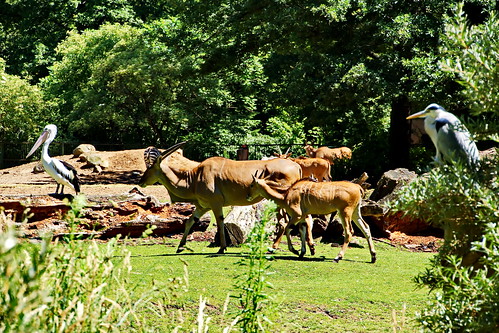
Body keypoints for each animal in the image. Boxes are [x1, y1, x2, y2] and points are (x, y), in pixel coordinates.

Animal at [139, 141, 300, 253]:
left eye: (150, 167)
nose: (141, 181)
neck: (194, 178)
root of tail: (296, 166)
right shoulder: (203, 206)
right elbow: (190, 221)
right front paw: (180, 246)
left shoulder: (215, 204)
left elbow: (219, 222)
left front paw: (222, 248)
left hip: (279, 201)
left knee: (284, 222)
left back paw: (274, 247)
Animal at [248, 176, 376, 262]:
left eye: (252, 185)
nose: (247, 196)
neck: (285, 196)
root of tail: (358, 187)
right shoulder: (303, 217)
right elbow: (302, 231)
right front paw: (302, 252)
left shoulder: (297, 215)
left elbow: (288, 229)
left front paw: (295, 250)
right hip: (355, 213)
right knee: (366, 228)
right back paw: (373, 256)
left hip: (345, 212)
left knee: (349, 232)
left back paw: (338, 257)